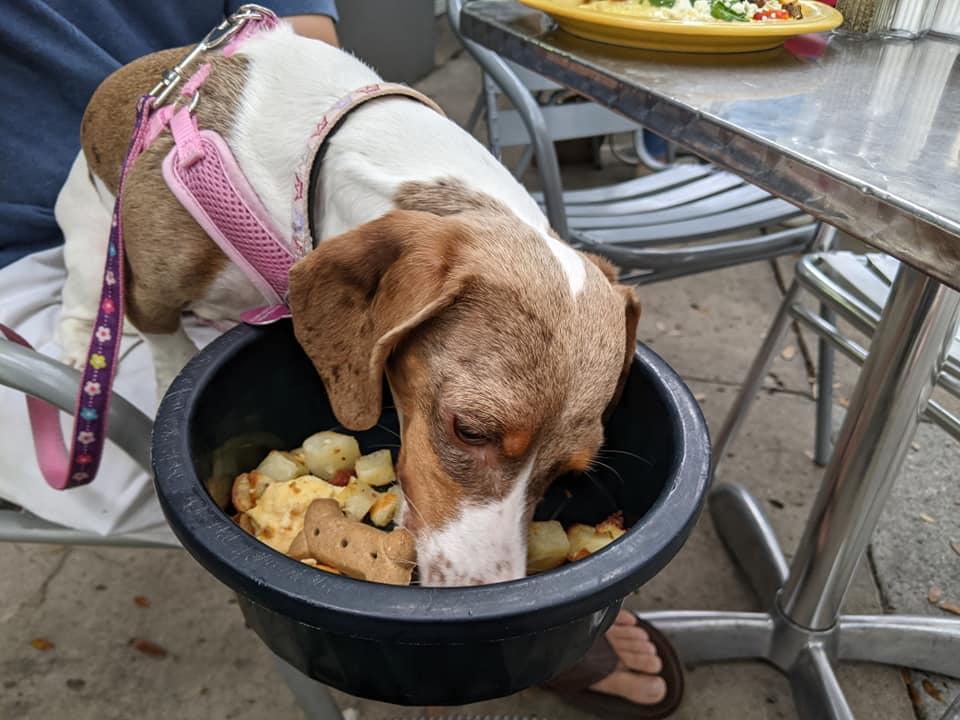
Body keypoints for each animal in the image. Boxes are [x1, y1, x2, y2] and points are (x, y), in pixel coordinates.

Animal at [52, 23, 636, 584]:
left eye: (571, 472)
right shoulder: (150, 293)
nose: (486, 590)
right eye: (469, 430)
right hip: (91, 242)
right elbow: (163, 344)